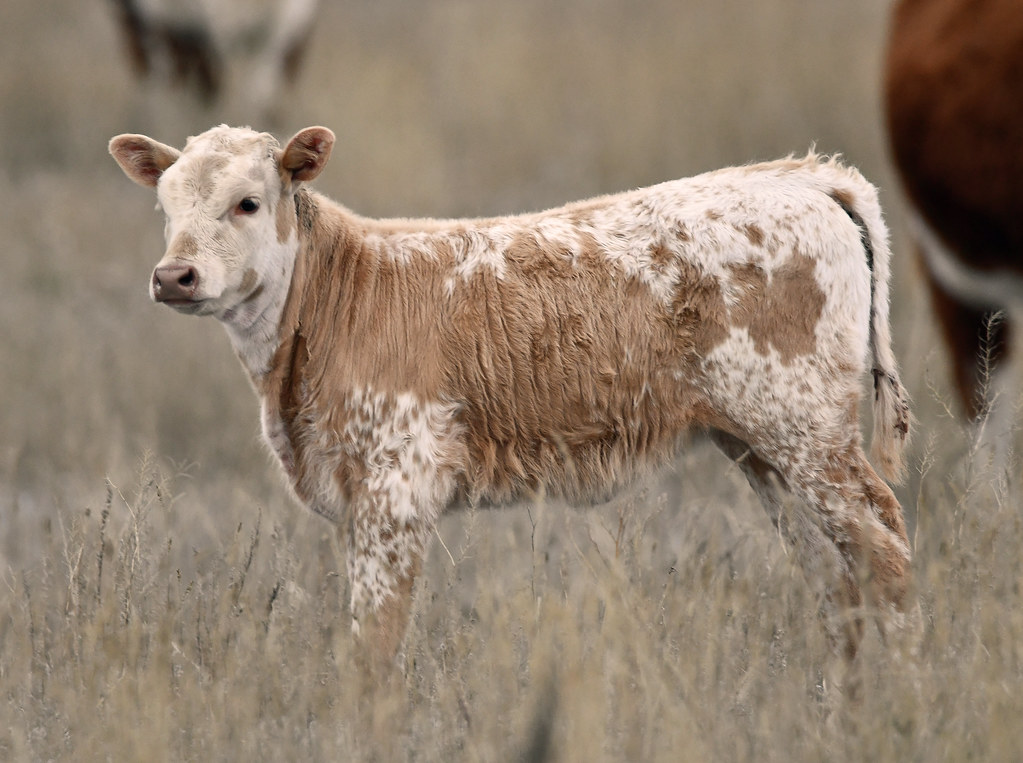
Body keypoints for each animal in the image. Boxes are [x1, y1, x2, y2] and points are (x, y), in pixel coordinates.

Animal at [109, 125, 912, 664]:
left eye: (246, 203)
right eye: (166, 208)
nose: (173, 275)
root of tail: (803, 176)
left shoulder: (397, 485)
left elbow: (375, 644)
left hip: (806, 431)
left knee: (883, 553)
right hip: (758, 449)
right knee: (837, 580)